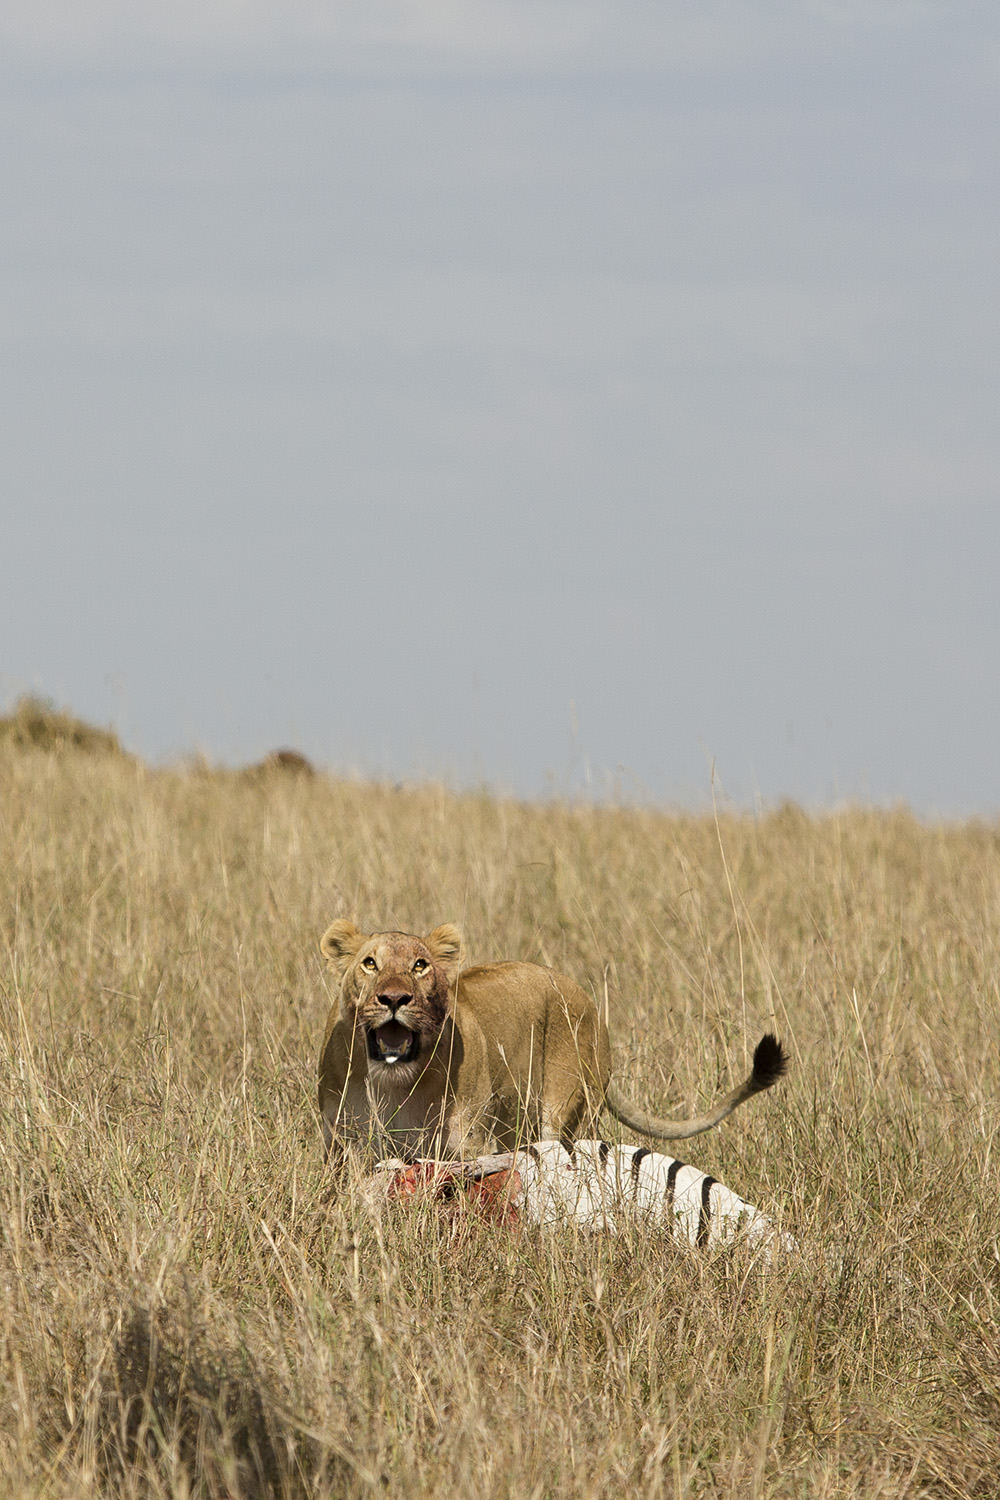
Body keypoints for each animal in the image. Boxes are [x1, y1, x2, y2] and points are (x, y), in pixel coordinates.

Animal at [316, 918, 785, 1164]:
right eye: (369, 963)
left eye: (420, 965)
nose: (394, 998)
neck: (394, 1085)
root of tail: (589, 1003)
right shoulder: (344, 1144)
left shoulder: (467, 1145)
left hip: (565, 1113)